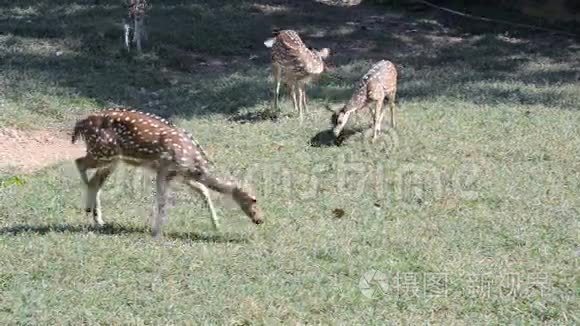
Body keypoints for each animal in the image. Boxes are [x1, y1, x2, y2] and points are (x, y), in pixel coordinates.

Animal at [71, 108, 264, 238]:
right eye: (254, 199)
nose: (260, 219)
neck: (194, 163)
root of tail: (80, 124)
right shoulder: (164, 169)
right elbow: (162, 200)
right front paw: (156, 232)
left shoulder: (181, 175)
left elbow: (203, 191)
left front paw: (216, 225)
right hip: (103, 151)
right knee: (80, 163)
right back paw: (88, 207)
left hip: (112, 159)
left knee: (96, 180)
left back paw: (98, 219)